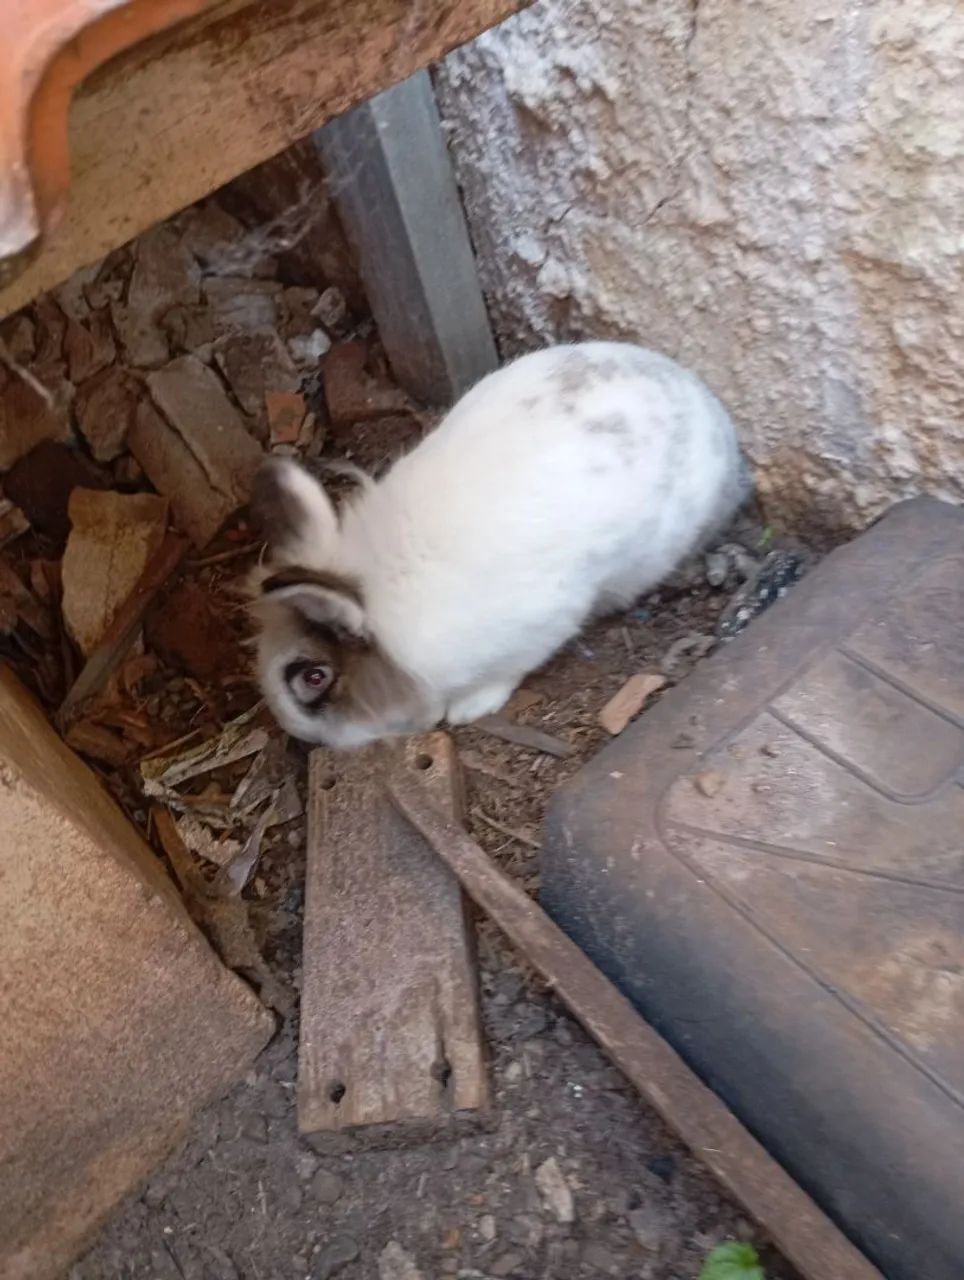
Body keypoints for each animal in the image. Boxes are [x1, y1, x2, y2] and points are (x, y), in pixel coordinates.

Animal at [251, 341, 748, 749]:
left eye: (314, 677)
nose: (299, 735)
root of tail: (709, 406)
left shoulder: (536, 626)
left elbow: (505, 671)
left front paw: (468, 708)